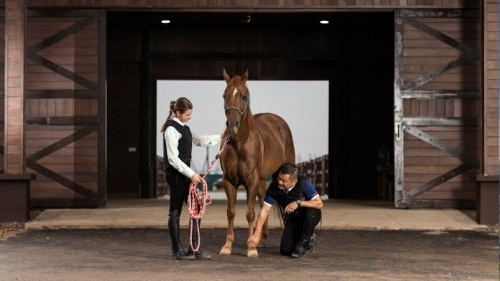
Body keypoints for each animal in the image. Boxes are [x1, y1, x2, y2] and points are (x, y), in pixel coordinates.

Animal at [218, 69, 294, 256]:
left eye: (244, 96)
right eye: (224, 95)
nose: (232, 124)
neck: (240, 143)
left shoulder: (251, 180)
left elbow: (250, 213)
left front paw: (250, 249)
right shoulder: (229, 180)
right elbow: (231, 212)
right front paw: (227, 246)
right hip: (261, 179)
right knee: (263, 201)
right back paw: (261, 238)